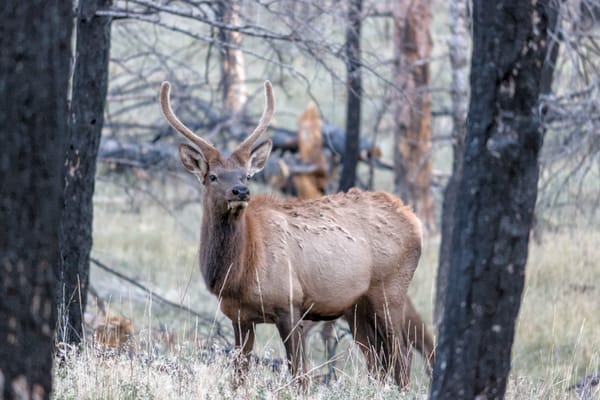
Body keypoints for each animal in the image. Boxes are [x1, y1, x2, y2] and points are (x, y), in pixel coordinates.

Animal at [159, 79, 422, 388]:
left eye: (246, 174)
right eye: (213, 176)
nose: (241, 191)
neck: (237, 275)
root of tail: (413, 219)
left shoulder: (290, 303)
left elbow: (300, 374)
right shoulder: (238, 316)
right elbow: (239, 374)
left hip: (391, 288)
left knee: (402, 354)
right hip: (356, 306)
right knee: (378, 360)